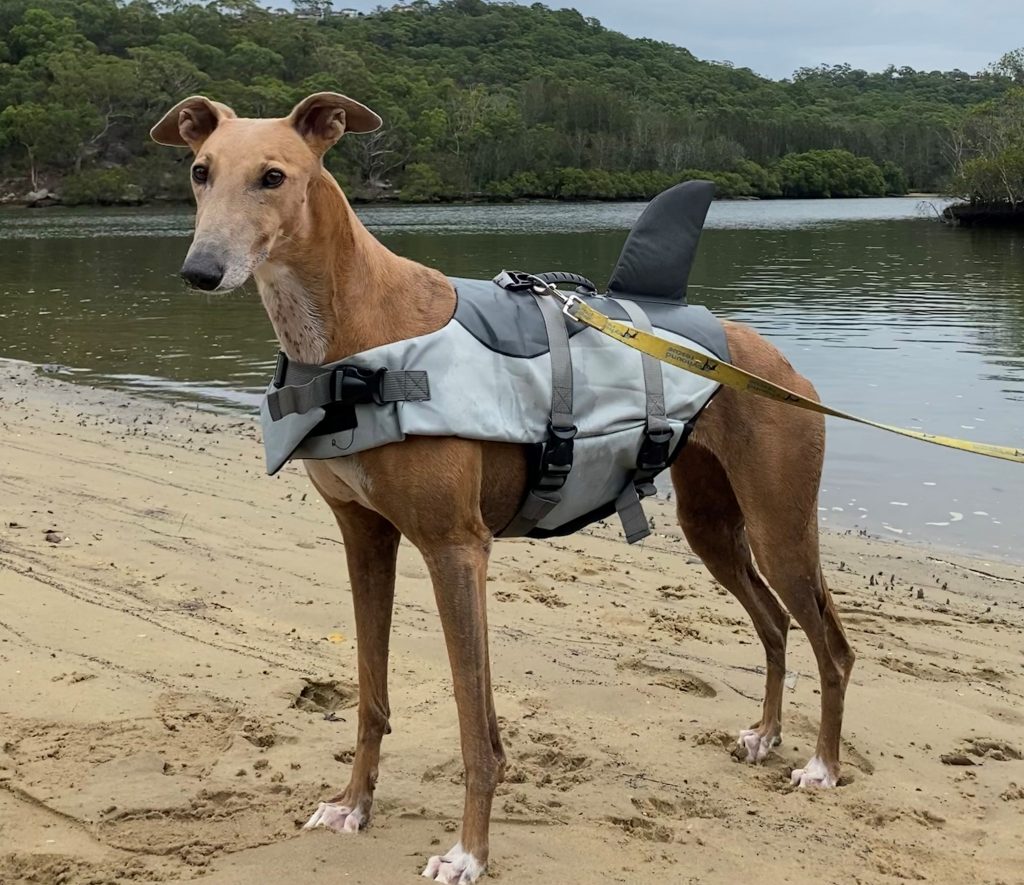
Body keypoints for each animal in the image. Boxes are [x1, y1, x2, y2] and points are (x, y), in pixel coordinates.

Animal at [153, 93, 856, 880]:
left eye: (273, 176)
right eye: (200, 170)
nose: (201, 270)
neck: (357, 337)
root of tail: (773, 362)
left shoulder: (455, 548)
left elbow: (471, 722)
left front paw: (468, 851)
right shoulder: (366, 539)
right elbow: (371, 694)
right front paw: (353, 805)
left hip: (779, 525)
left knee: (832, 644)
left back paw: (822, 765)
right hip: (713, 526)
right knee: (774, 624)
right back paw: (766, 734)